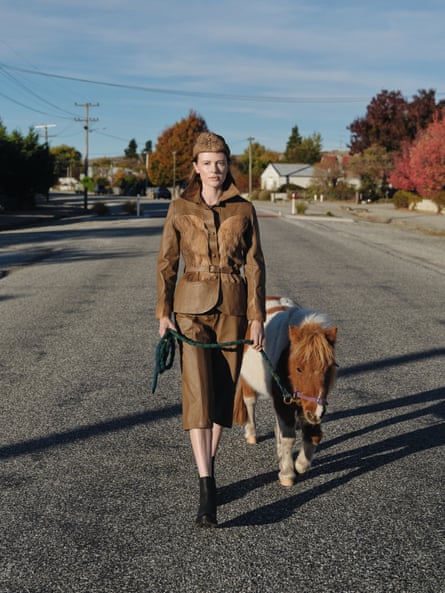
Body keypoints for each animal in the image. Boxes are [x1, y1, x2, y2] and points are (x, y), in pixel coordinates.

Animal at [232, 296, 336, 486]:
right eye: (299, 369)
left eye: (329, 368)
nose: (318, 413)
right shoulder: (285, 402)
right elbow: (288, 438)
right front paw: (287, 472)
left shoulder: (305, 405)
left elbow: (313, 435)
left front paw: (300, 465)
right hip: (248, 381)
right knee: (249, 402)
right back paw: (251, 433)